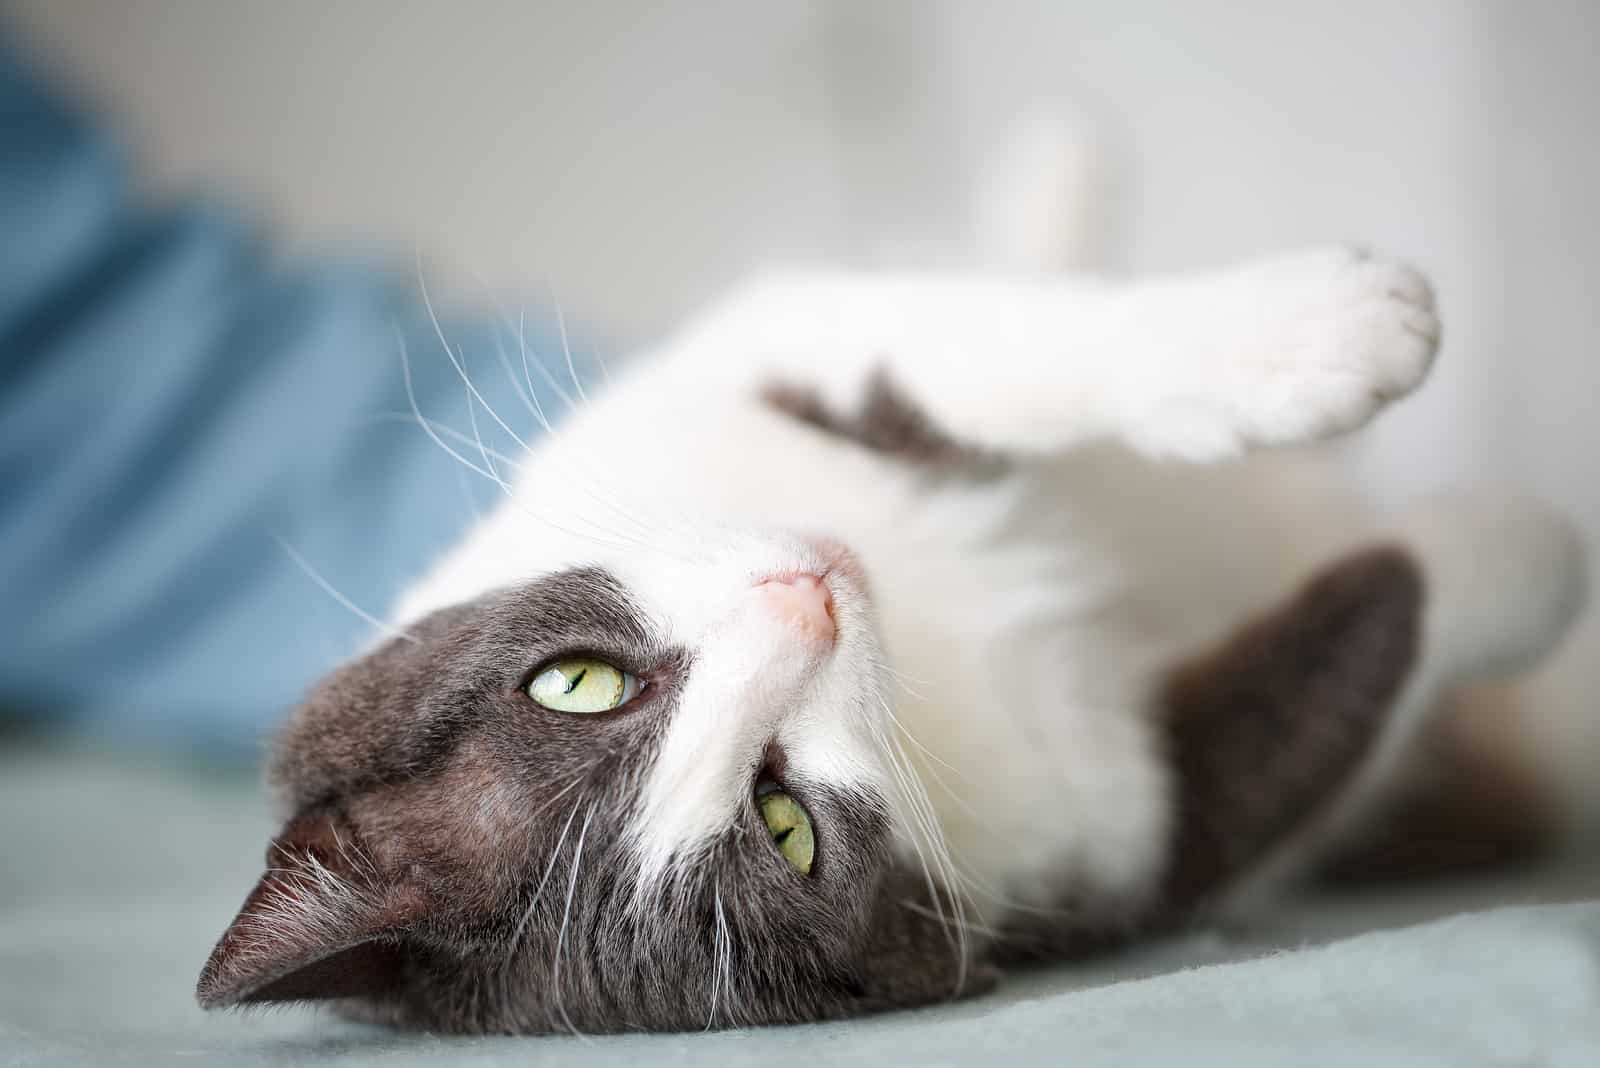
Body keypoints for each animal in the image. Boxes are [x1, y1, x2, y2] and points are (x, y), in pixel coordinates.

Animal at [193, 244, 1580, 1036]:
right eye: (787, 825)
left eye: (574, 683)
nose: (805, 598)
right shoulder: (1129, 837)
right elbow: (1345, 657)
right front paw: (1532, 549)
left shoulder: (740, 367)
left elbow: (972, 346)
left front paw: (1324, 330)